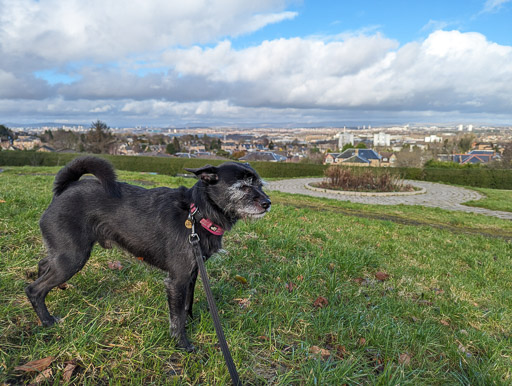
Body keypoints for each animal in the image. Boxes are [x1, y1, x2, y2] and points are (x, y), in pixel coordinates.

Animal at [25, 155, 270, 352]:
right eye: (242, 187)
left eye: (260, 184)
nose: (268, 203)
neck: (198, 212)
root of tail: (63, 191)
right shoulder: (177, 280)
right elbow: (176, 316)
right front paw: (183, 344)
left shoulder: (191, 275)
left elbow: (186, 306)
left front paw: (190, 325)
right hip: (73, 257)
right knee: (34, 289)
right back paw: (47, 321)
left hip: (64, 253)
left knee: (43, 263)